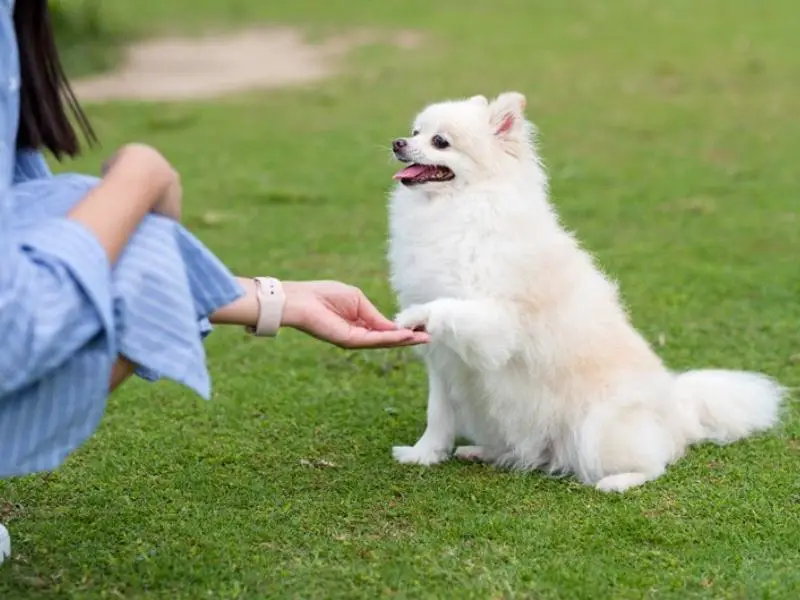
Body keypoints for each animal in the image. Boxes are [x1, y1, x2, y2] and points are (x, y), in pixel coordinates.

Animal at [388, 90, 788, 492]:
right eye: (415, 131)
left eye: (440, 142)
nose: (398, 143)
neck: (457, 208)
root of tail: (677, 411)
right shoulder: (443, 361)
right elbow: (438, 414)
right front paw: (424, 455)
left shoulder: (496, 323)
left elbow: (449, 307)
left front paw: (412, 316)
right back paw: (483, 451)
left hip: (598, 428)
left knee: (655, 463)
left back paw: (618, 481)